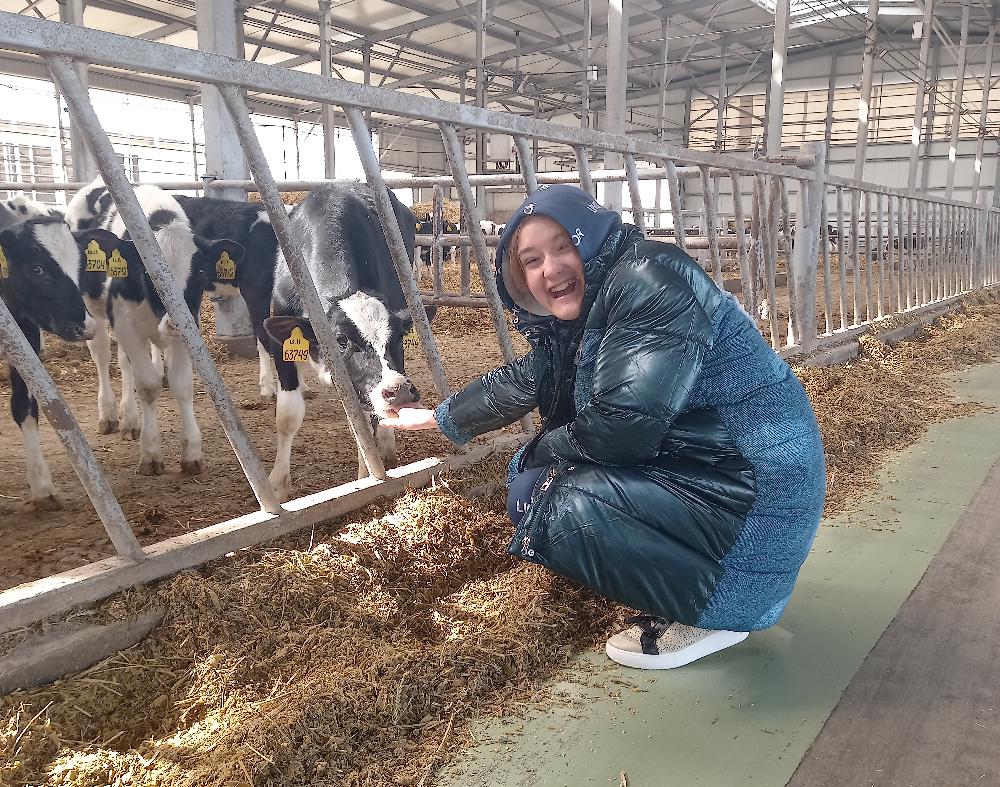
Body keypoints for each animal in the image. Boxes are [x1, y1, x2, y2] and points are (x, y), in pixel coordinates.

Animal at [0, 211, 115, 509]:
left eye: (82, 267)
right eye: (36, 269)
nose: (85, 326)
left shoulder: (25, 337)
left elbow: (24, 406)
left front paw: (41, 485)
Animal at [66, 180, 244, 475]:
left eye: (200, 272)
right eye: (148, 273)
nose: (173, 323)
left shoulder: (188, 327)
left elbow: (182, 385)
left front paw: (191, 452)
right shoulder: (124, 323)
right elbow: (147, 387)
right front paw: (150, 454)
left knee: (126, 363)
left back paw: (130, 419)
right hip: (93, 309)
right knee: (102, 355)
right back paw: (110, 414)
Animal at [261, 183, 429, 502]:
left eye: (398, 336)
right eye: (340, 339)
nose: (400, 391)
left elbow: (365, 422)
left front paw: (368, 477)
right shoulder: (281, 340)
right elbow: (288, 415)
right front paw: (277, 485)